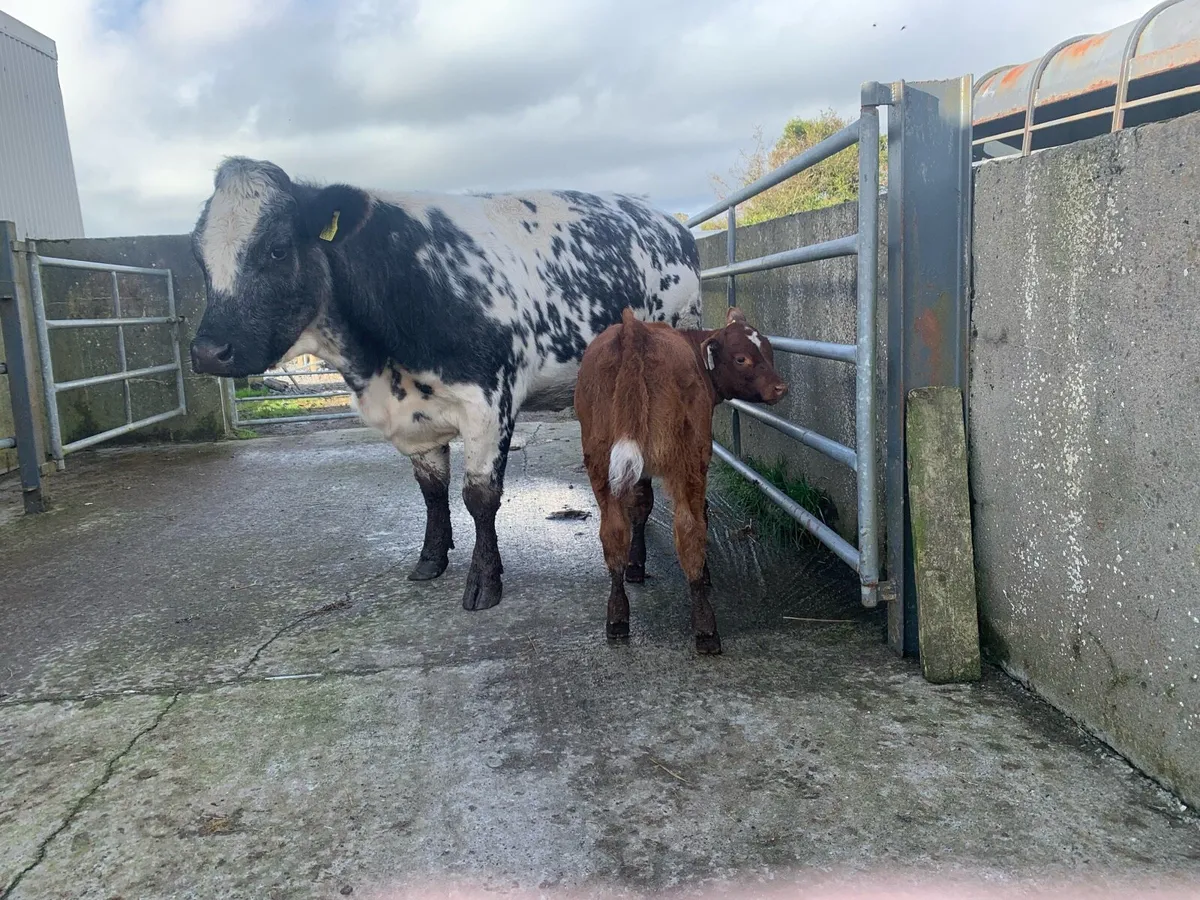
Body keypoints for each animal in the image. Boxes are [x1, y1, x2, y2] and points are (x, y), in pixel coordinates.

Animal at [187, 157, 701, 612]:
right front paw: (431, 559)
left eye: (276, 248)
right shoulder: (413, 417)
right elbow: (432, 490)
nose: (208, 351)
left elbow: (480, 498)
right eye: (197, 255)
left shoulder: (489, 403)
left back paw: (635, 564)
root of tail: (667, 224)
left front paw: (484, 581)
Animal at [574, 305, 788, 654]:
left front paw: (636, 565)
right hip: (688, 458)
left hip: (600, 459)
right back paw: (706, 626)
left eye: (768, 350)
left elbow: (641, 507)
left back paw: (617, 617)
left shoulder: (639, 469)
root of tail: (634, 330)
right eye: (741, 358)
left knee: (613, 531)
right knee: (690, 530)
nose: (780, 387)